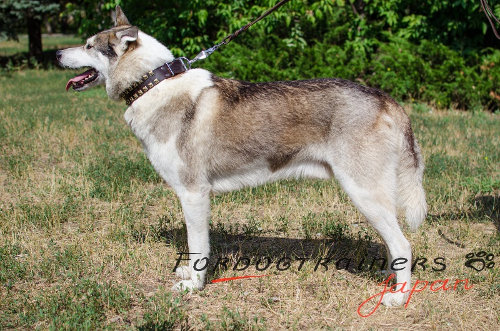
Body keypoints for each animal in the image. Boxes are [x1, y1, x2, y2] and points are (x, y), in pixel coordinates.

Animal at [58, 6, 426, 308]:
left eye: (88, 45)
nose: (58, 53)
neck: (153, 83)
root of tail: (383, 97)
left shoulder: (193, 194)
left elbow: (197, 246)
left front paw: (194, 286)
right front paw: (189, 276)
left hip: (364, 194)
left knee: (403, 245)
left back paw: (398, 297)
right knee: (393, 245)